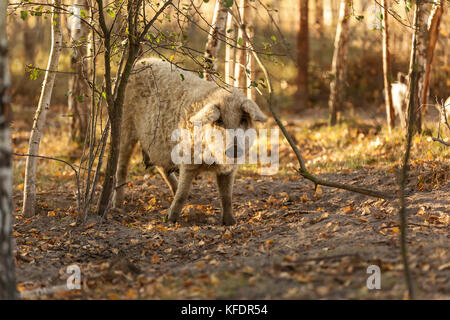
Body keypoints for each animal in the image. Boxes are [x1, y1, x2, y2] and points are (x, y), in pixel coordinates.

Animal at [112, 57, 268, 225]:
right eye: (219, 121)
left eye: (243, 120)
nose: (234, 148)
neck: (210, 161)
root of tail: (140, 61)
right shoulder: (187, 159)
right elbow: (183, 194)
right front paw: (169, 220)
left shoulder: (229, 170)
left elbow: (226, 196)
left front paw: (231, 222)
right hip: (125, 128)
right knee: (122, 167)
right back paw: (117, 206)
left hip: (156, 145)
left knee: (161, 167)